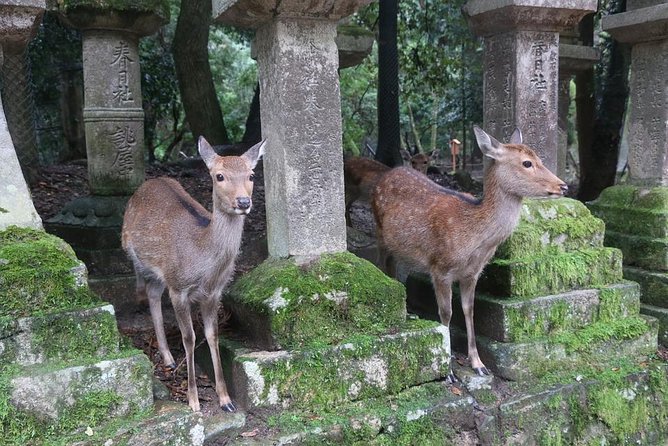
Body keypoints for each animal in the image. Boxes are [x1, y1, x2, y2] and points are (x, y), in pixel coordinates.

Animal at [121, 136, 265, 412]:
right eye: (219, 176)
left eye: (252, 175)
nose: (244, 202)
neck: (204, 267)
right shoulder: (178, 288)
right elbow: (189, 338)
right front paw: (194, 400)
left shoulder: (214, 294)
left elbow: (213, 336)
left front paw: (226, 400)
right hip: (143, 261)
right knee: (146, 290)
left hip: (162, 275)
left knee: (154, 294)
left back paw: (167, 357)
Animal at [371, 126, 567, 381]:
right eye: (527, 163)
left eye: (540, 159)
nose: (563, 186)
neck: (474, 242)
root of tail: (386, 173)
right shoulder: (439, 267)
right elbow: (446, 313)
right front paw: (448, 370)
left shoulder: (473, 273)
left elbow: (469, 310)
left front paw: (479, 364)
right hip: (379, 233)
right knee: (381, 264)